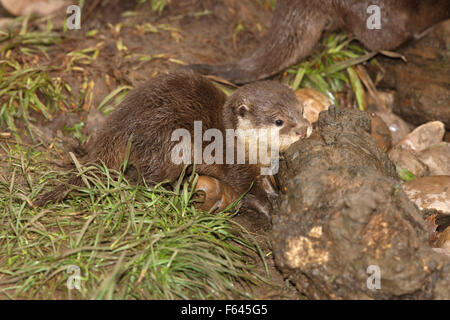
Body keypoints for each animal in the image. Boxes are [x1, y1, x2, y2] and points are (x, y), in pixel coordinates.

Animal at [35, 72, 312, 218]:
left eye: (301, 110)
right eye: (279, 121)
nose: (303, 129)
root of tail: (120, 125)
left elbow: (265, 181)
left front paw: (275, 191)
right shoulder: (235, 163)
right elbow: (248, 189)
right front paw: (269, 208)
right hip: (174, 143)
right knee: (144, 180)